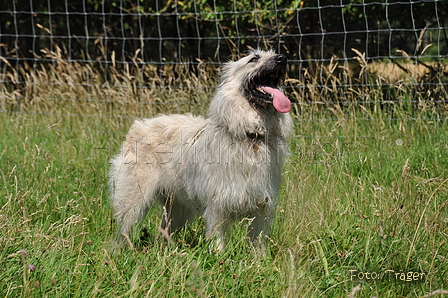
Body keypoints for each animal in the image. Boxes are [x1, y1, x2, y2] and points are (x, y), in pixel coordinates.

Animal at [109, 49, 294, 251]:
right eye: (254, 59)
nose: (282, 58)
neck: (250, 136)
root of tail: (138, 125)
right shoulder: (217, 206)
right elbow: (217, 240)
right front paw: (219, 257)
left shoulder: (262, 208)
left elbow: (258, 243)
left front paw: (259, 259)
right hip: (134, 200)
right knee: (123, 230)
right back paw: (120, 252)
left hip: (177, 209)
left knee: (164, 231)